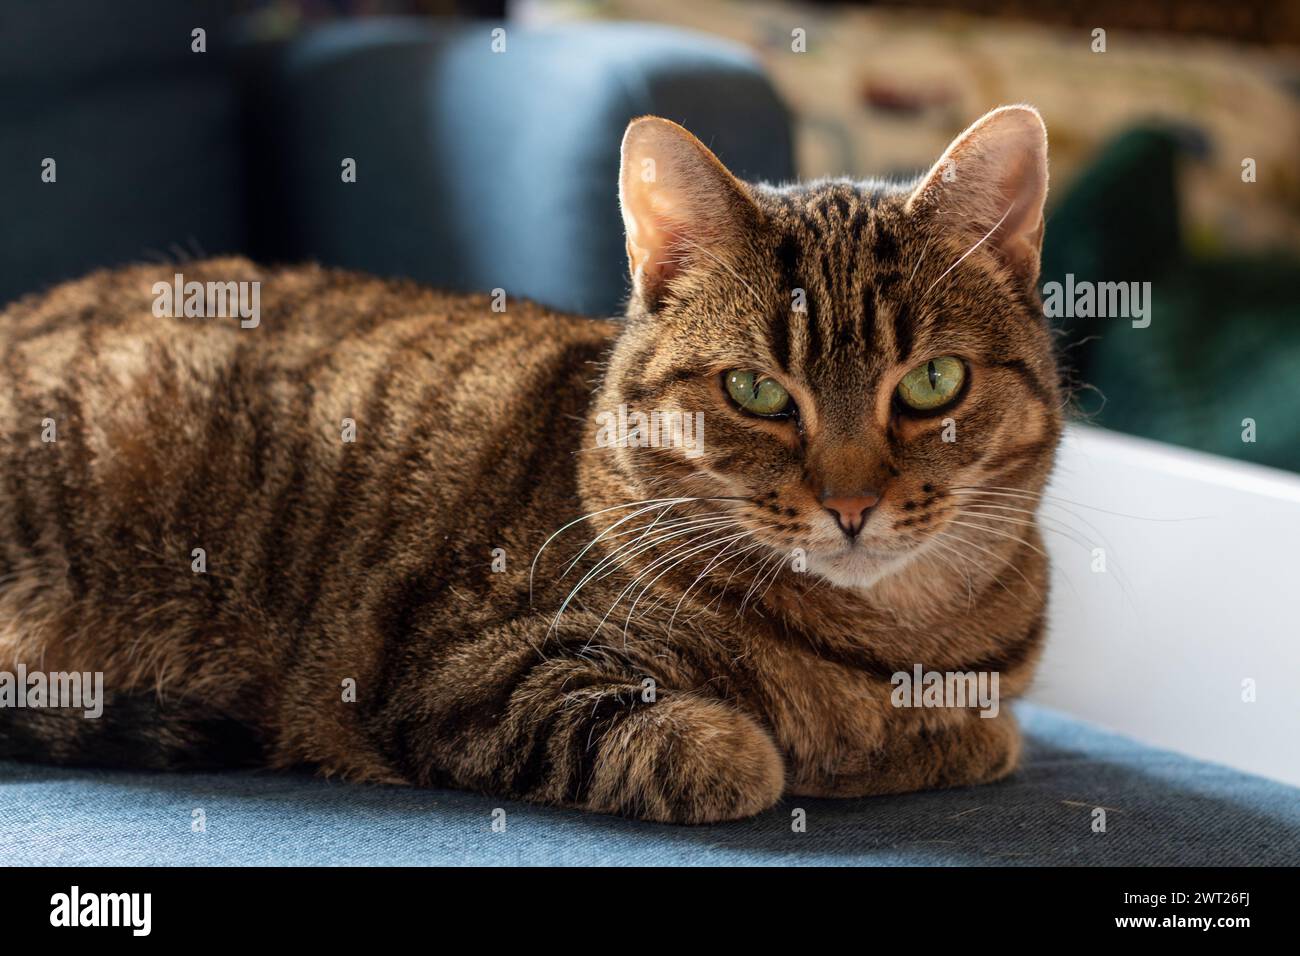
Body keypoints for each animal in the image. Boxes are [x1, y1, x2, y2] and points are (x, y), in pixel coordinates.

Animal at [0, 104, 1055, 822]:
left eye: (932, 384)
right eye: (756, 391)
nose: (850, 503)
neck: (887, 639)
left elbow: (973, 732)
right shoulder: (470, 677)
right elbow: (718, 748)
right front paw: (800, 749)